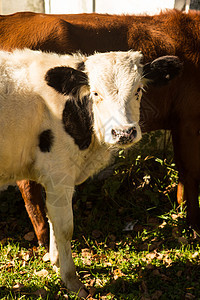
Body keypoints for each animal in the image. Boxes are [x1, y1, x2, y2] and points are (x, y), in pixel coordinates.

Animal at [0, 9, 200, 247]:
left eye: (139, 89)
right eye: (95, 93)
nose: (124, 132)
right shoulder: (189, 120)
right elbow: (190, 172)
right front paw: (193, 225)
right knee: (28, 188)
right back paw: (43, 237)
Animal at [0, 48, 183, 296]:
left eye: (138, 89)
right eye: (95, 93)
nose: (123, 132)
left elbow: (52, 220)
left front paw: (56, 261)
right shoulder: (59, 174)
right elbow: (64, 227)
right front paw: (72, 281)